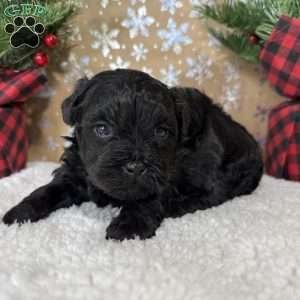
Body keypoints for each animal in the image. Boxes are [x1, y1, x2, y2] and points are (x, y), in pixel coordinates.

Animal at [2, 69, 262, 240]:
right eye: (103, 129)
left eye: (161, 132)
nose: (136, 166)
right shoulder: (74, 172)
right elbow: (46, 190)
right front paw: (19, 214)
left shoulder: (164, 175)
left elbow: (147, 199)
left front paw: (128, 227)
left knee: (213, 193)